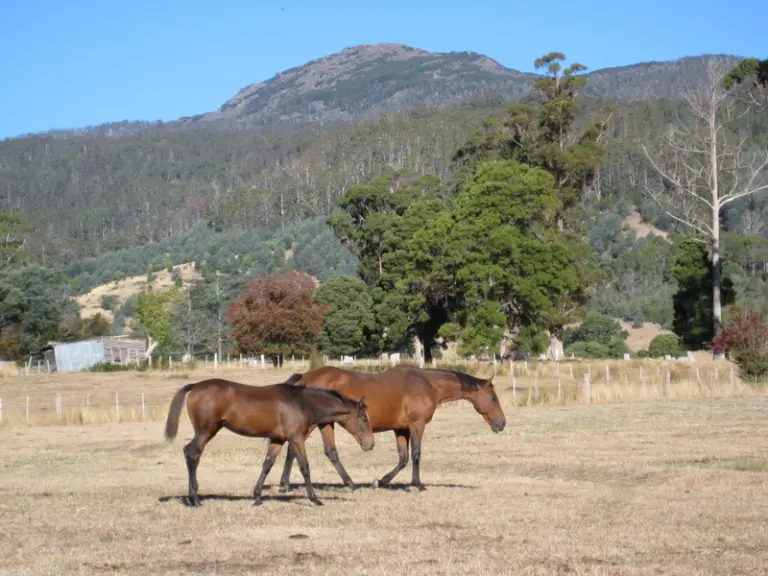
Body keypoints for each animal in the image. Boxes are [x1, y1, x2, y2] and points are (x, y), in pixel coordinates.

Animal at [163, 377, 375, 507]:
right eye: (364, 419)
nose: (370, 445)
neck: (302, 402)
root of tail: (195, 385)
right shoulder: (296, 438)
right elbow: (304, 466)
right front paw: (315, 499)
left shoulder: (277, 440)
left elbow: (267, 465)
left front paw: (257, 497)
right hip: (206, 431)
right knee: (192, 454)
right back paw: (195, 499)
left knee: (189, 452)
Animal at [277, 365, 506, 492]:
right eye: (494, 398)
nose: (502, 423)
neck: (426, 384)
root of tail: (305, 377)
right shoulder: (417, 426)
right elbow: (416, 455)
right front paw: (417, 484)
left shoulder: (401, 430)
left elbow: (403, 459)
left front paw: (381, 481)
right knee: (302, 450)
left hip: (324, 423)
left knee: (310, 451)